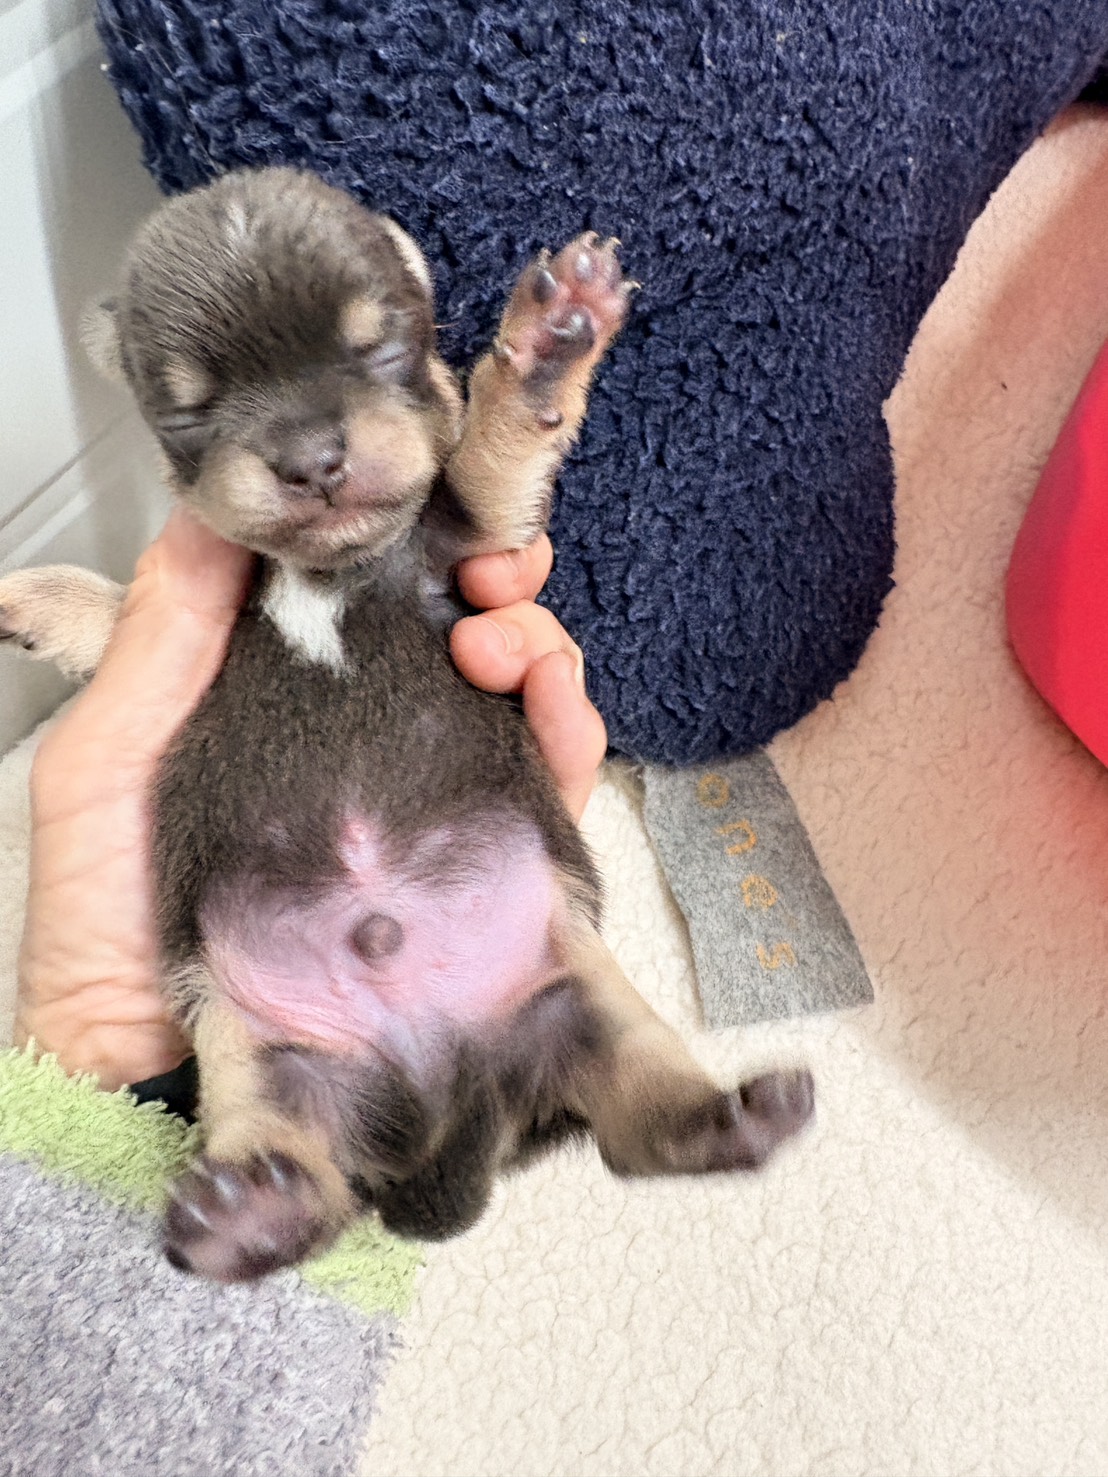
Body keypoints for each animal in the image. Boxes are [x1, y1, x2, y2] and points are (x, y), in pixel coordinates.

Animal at [0, 168, 813, 1282]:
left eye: (380, 346)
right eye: (188, 409)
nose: (310, 458)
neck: (327, 572)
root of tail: (442, 1103)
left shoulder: (472, 536)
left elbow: (494, 452)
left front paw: (552, 336)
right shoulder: (184, 627)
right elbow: (111, 609)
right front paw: (31, 597)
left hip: (572, 996)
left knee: (636, 1121)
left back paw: (732, 1117)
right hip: (258, 1049)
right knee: (305, 1164)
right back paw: (251, 1213)